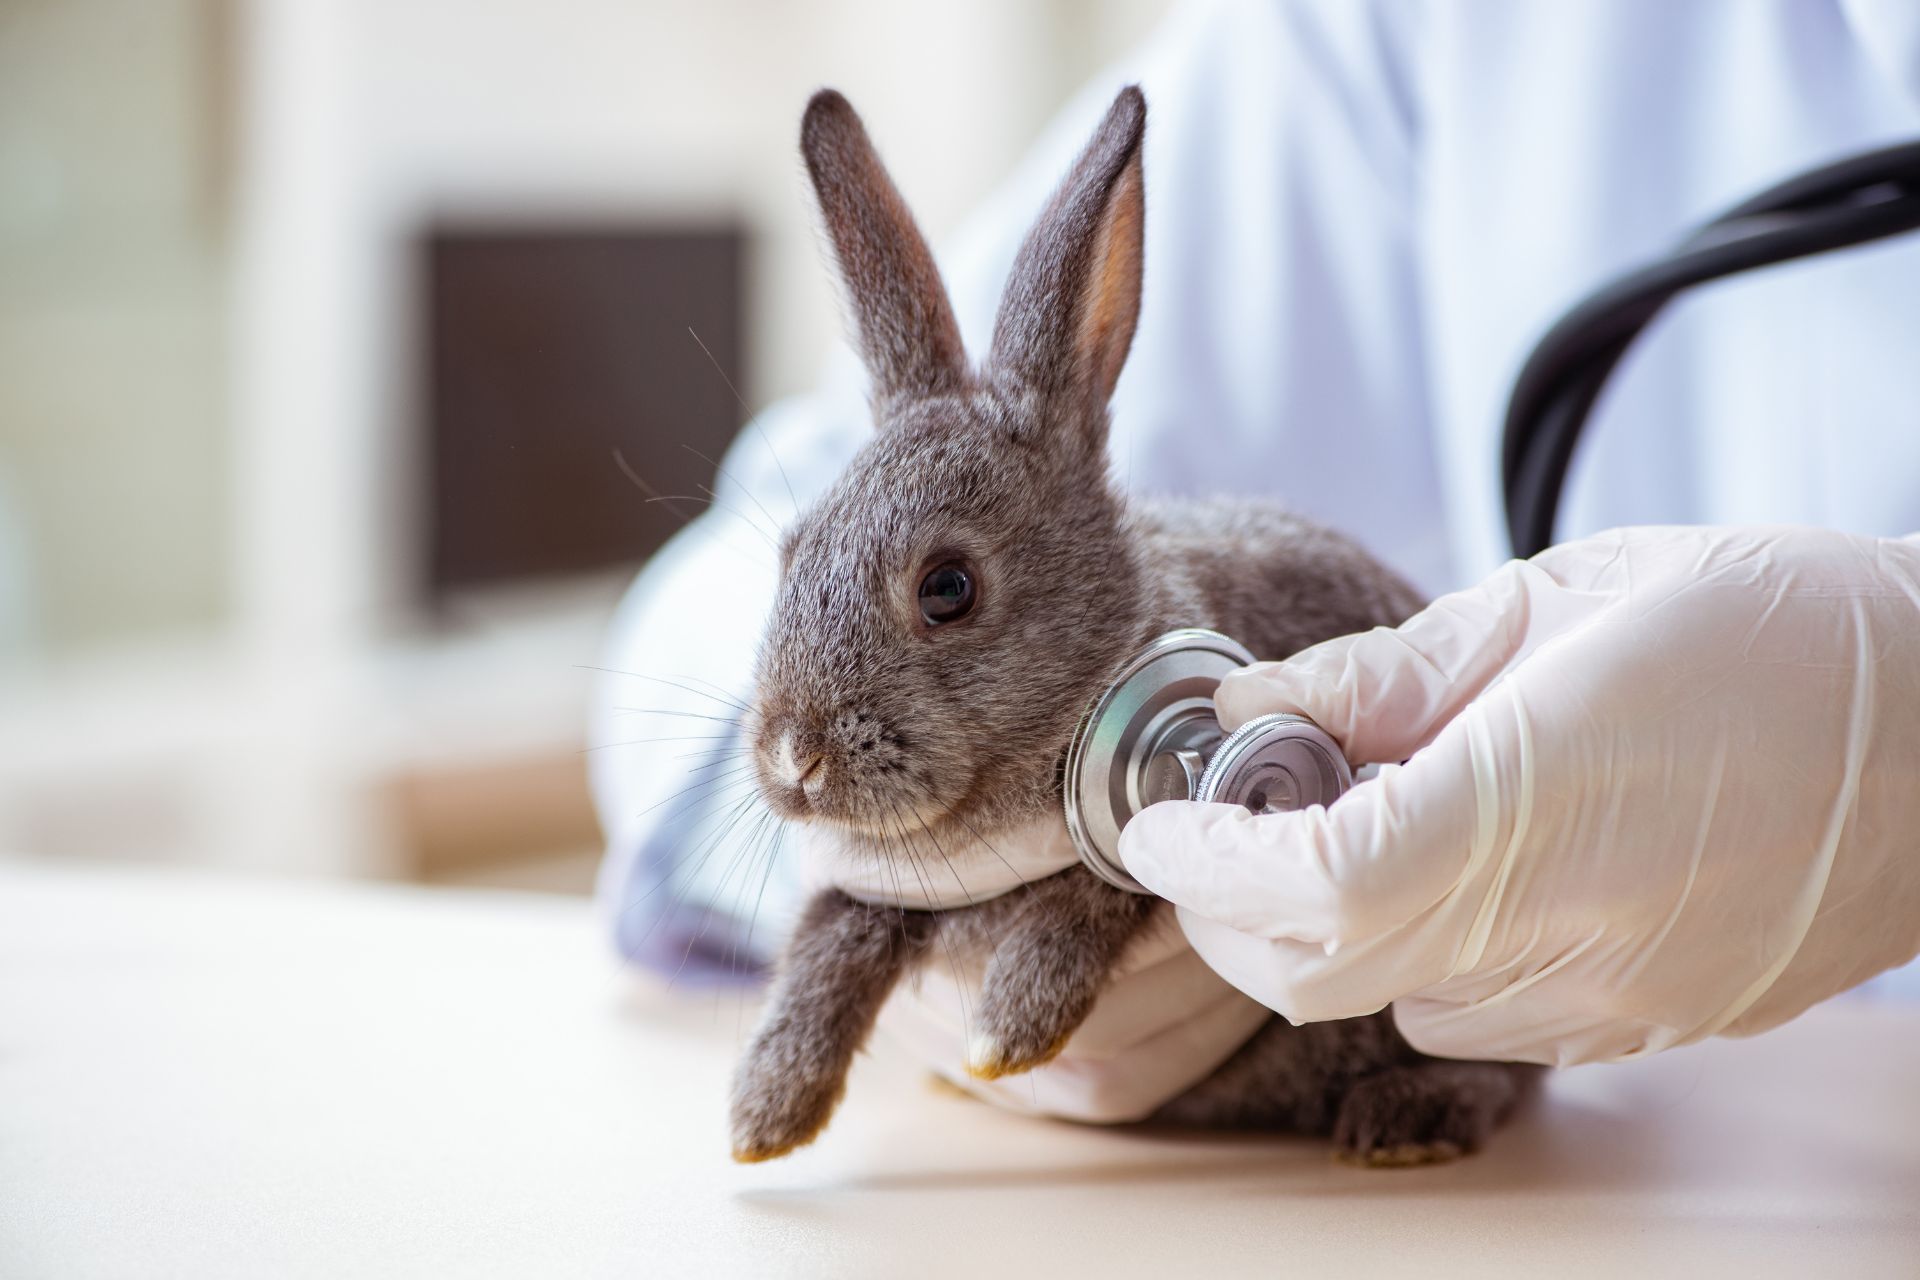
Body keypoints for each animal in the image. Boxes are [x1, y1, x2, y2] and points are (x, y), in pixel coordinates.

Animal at [725, 87, 1536, 1174]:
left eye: (948, 587)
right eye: (789, 551)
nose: (792, 756)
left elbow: (1112, 889)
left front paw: (1009, 1029)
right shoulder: (872, 891)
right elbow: (830, 934)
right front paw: (765, 1113)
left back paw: (1406, 1119)